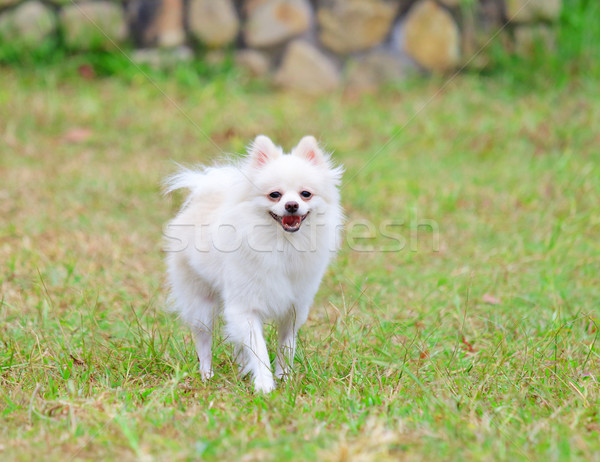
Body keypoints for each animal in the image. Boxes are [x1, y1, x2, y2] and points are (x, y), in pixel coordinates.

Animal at [163, 135, 342, 392]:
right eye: (274, 195)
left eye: (305, 194)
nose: (291, 205)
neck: (282, 244)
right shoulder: (244, 308)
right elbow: (259, 349)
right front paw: (265, 385)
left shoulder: (294, 308)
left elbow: (286, 346)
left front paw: (284, 377)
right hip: (200, 305)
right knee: (203, 340)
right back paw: (207, 375)